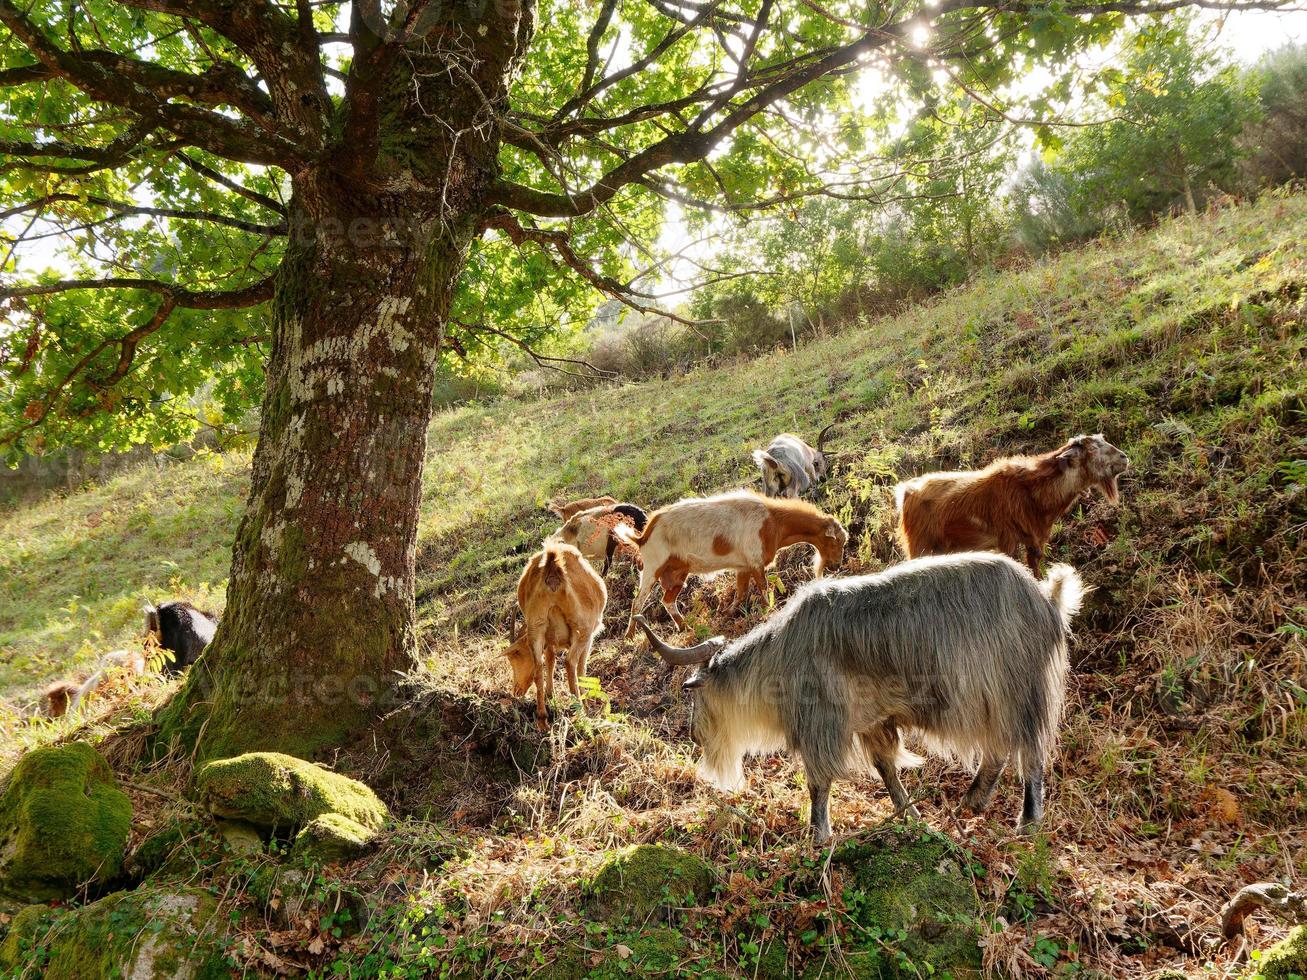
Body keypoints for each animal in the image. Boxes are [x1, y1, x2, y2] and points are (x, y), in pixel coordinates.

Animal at [499, 540, 606, 731]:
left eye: (516, 655)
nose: (516, 691)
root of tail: (553, 569)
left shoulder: (548, 639)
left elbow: (550, 659)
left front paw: (550, 694)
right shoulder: (589, 638)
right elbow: (582, 667)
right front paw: (586, 700)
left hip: (537, 626)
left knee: (538, 668)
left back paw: (542, 718)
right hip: (582, 628)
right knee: (570, 662)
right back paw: (580, 710)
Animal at [640, 554, 1082, 846]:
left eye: (695, 698)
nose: (693, 734)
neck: (782, 652)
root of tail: (1046, 600)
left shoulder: (821, 724)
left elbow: (818, 783)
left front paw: (818, 836)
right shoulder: (872, 722)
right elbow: (887, 769)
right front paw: (910, 815)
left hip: (1018, 693)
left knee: (1029, 755)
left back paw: (1027, 821)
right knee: (999, 750)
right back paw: (972, 802)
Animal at [893, 436, 1129, 574]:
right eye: (1093, 449)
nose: (1124, 457)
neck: (1033, 490)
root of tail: (905, 492)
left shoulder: (1034, 540)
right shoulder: (1008, 540)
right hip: (920, 545)